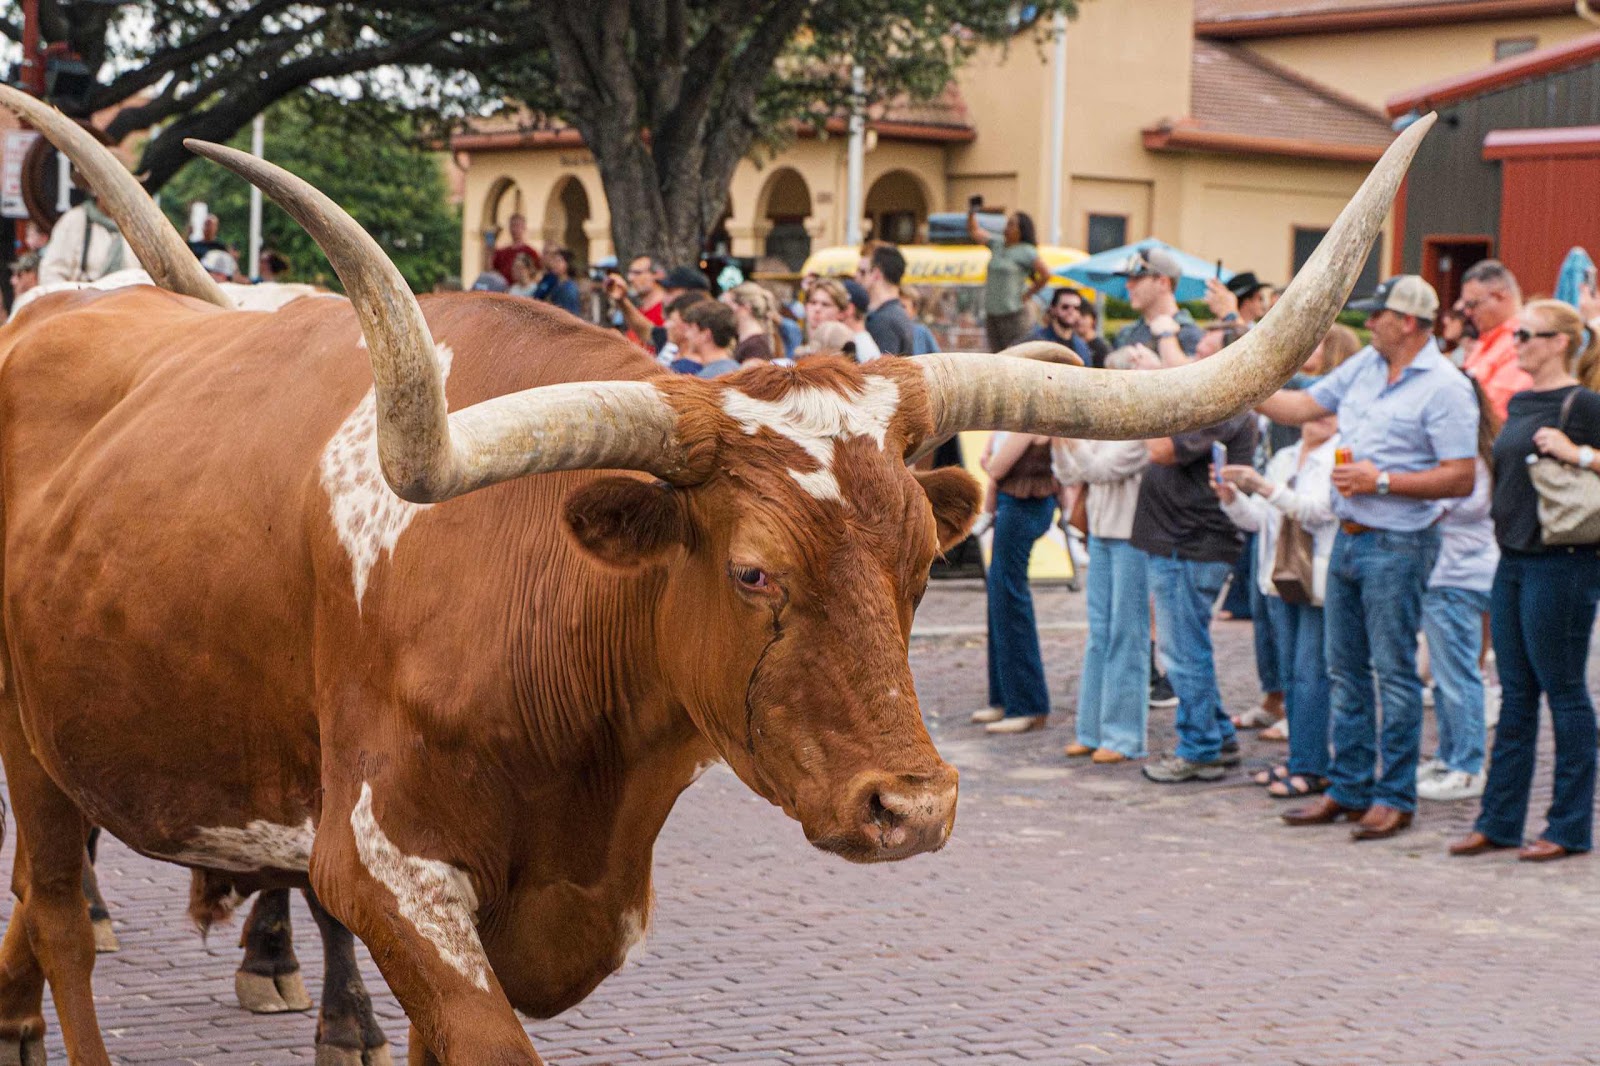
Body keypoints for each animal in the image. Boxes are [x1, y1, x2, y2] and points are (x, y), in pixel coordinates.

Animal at [0, 84, 1432, 1066]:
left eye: (919, 564)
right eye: (750, 572)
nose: (911, 807)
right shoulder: (388, 865)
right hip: (35, 735)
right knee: (58, 906)